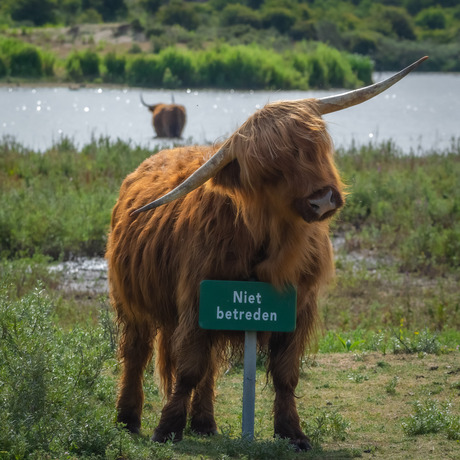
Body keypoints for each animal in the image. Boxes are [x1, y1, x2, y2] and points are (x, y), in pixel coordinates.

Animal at [108, 56, 428, 450]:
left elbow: (285, 373)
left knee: (209, 367)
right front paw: (167, 428)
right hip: (130, 302)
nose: (322, 200)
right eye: (271, 170)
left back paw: (204, 423)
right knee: (135, 355)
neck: (273, 244)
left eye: (313, 147)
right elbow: (188, 369)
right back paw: (128, 419)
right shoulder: (199, 300)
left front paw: (293, 432)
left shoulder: (296, 307)